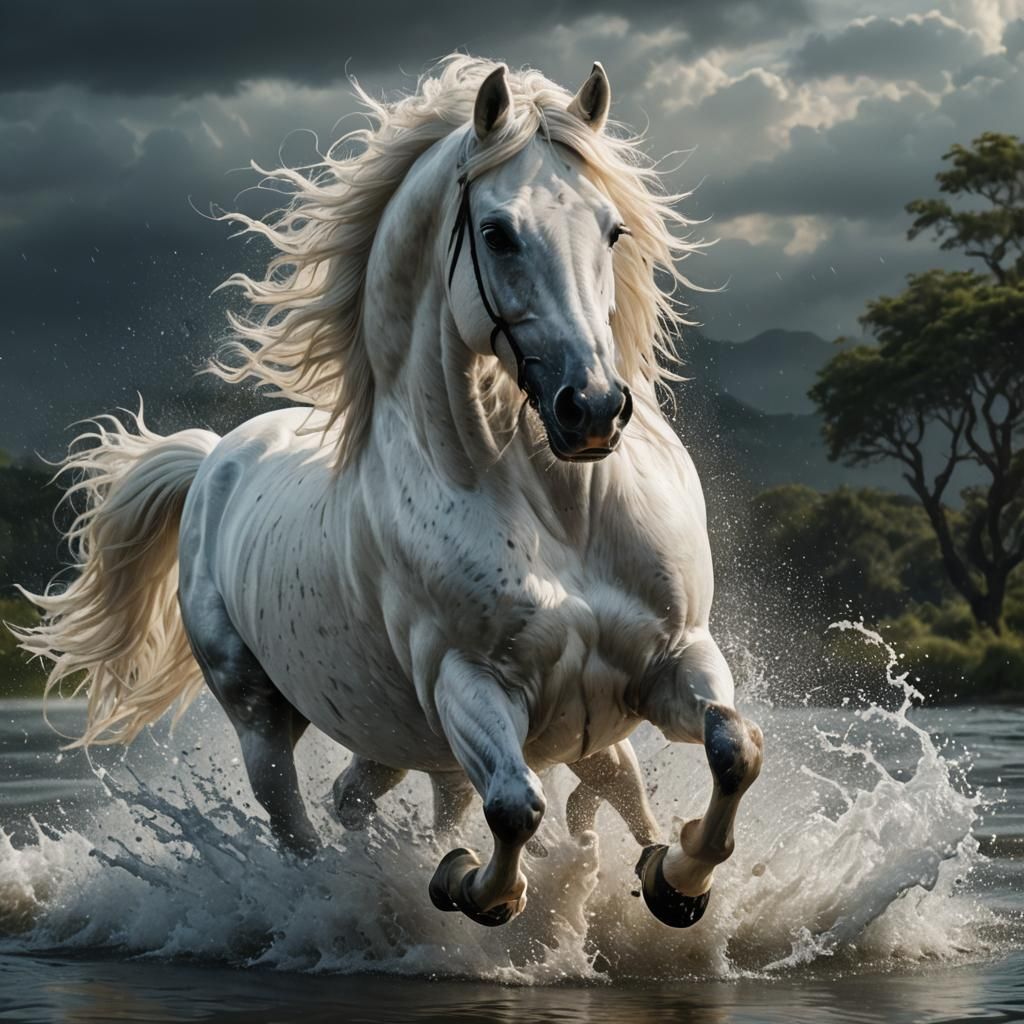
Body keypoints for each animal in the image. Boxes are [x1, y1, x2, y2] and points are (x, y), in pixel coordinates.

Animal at [14, 56, 763, 929]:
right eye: (497, 232)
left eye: (613, 231)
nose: (593, 408)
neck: (559, 512)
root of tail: (213, 460)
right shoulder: (469, 685)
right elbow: (512, 809)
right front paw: (470, 885)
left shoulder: (674, 654)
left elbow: (733, 749)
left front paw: (679, 876)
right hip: (265, 717)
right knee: (307, 823)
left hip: (424, 733)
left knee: (445, 790)